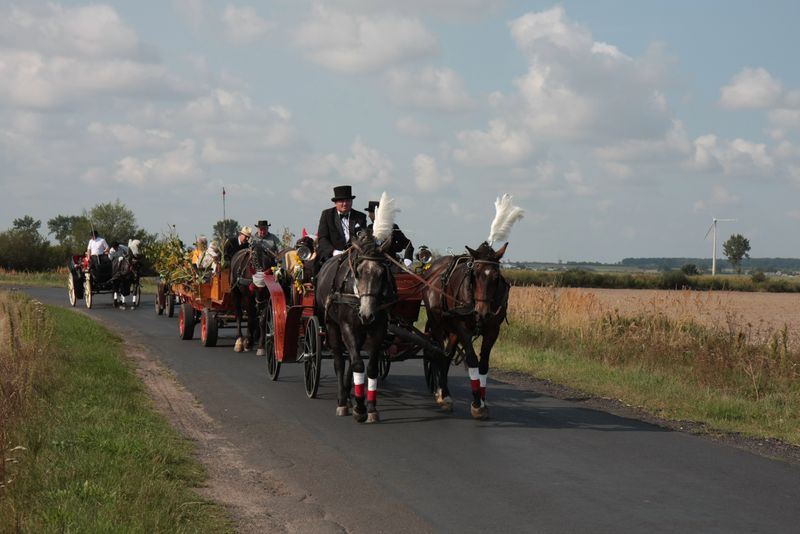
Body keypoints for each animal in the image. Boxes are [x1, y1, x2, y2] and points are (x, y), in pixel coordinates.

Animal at [312, 232, 394, 426]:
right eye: (358, 272)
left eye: (382, 273)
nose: (367, 314)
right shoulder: (346, 326)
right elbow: (357, 364)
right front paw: (360, 409)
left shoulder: (378, 329)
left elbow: (370, 368)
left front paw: (370, 408)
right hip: (332, 326)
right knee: (339, 362)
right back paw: (343, 400)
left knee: (350, 359)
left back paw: (349, 396)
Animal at [422, 243, 510, 422]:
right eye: (474, 274)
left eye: (496, 277)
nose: (482, 312)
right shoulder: (463, 328)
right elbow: (472, 360)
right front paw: (476, 403)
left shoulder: (492, 331)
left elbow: (483, 365)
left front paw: (482, 401)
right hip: (437, 324)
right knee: (438, 355)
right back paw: (444, 395)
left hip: (453, 331)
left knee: (447, 356)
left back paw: (443, 392)